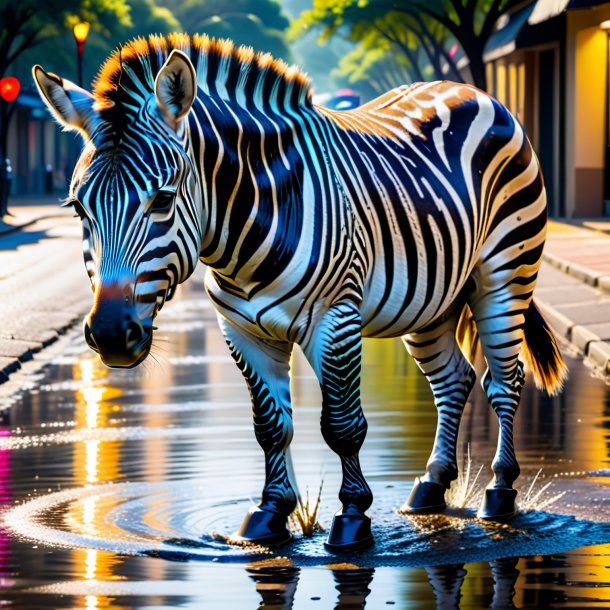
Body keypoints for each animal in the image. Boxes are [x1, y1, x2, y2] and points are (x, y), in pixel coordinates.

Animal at [33, 32, 564, 548]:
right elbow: (271, 427)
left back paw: (500, 492)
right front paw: (270, 514)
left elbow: (343, 426)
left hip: (504, 274)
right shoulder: (241, 329)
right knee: (453, 379)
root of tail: (471, 90)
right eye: (78, 207)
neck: (249, 227)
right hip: (432, 299)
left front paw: (352, 519)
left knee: (504, 380)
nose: (110, 335)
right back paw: (431, 486)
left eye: (162, 200)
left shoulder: (336, 320)